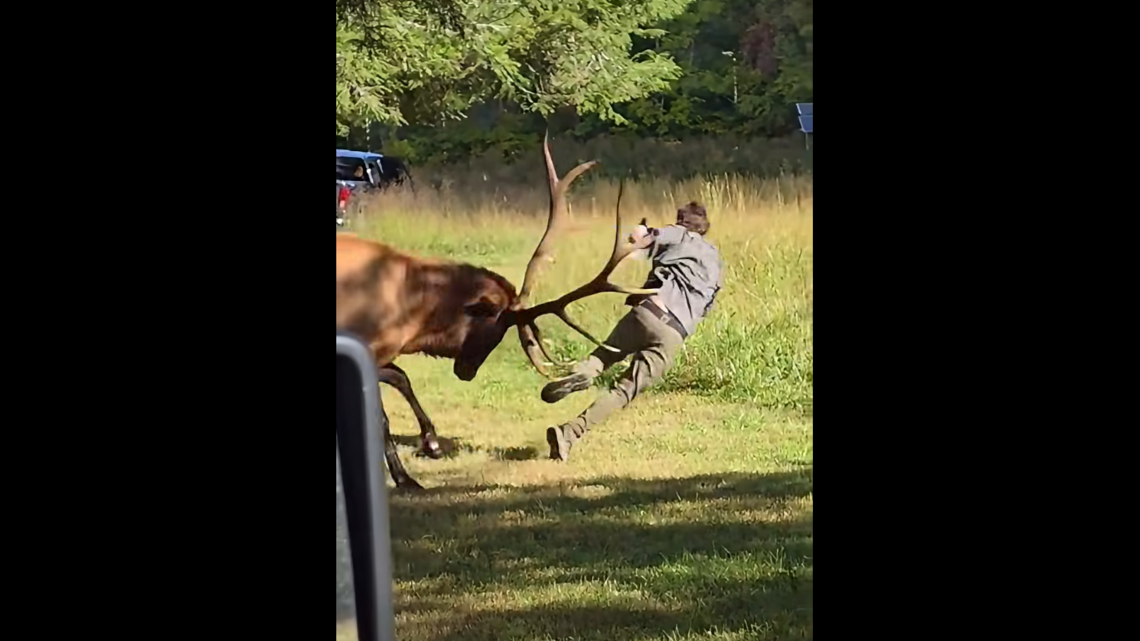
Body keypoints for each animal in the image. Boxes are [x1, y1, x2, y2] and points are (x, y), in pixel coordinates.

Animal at [335, 132, 658, 490]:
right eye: (497, 327)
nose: (467, 371)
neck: (412, 313)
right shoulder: (367, 346)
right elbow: (382, 414)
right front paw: (406, 477)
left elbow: (400, 379)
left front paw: (430, 444)